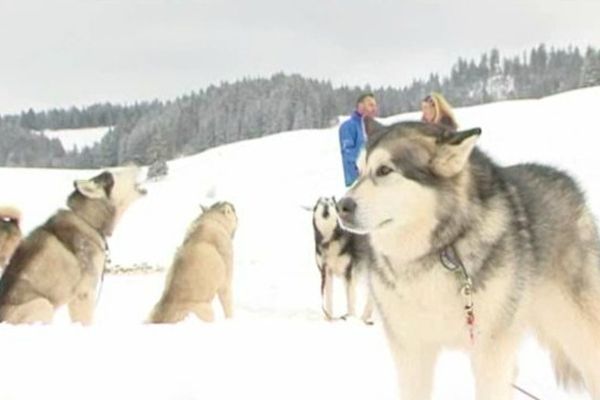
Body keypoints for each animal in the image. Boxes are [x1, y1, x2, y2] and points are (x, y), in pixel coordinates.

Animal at [338, 119, 600, 400]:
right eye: (358, 171)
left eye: (385, 170)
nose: (341, 206)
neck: (438, 249)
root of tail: (569, 185)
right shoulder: (411, 351)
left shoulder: (490, 353)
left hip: (576, 332)